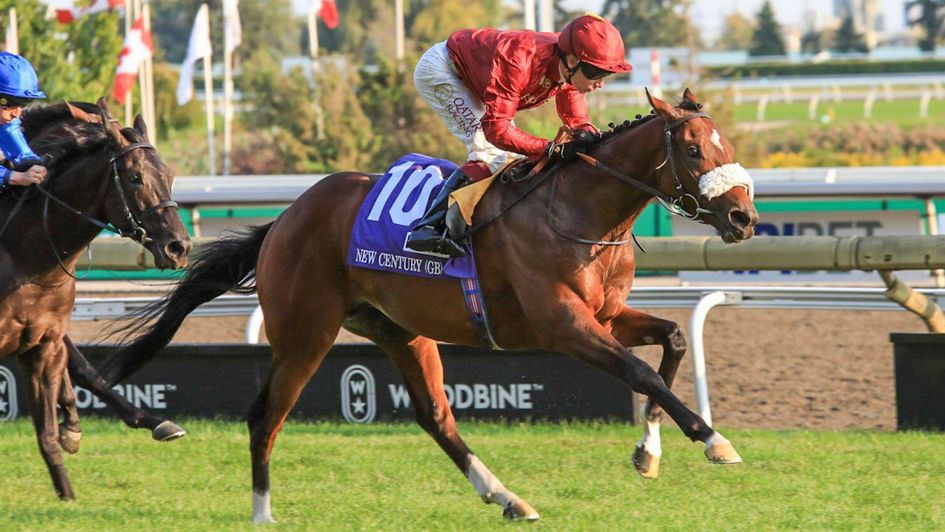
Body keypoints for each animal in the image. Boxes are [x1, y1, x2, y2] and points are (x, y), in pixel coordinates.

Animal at [99, 89, 756, 520]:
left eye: (726, 142)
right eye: (693, 150)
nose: (744, 217)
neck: (578, 210)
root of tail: (284, 218)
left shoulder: (606, 316)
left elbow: (672, 341)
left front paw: (648, 452)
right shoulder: (562, 325)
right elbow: (642, 371)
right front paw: (712, 439)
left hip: (401, 331)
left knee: (436, 417)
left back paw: (506, 497)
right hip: (305, 333)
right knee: (265, 416)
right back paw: (263, 514)